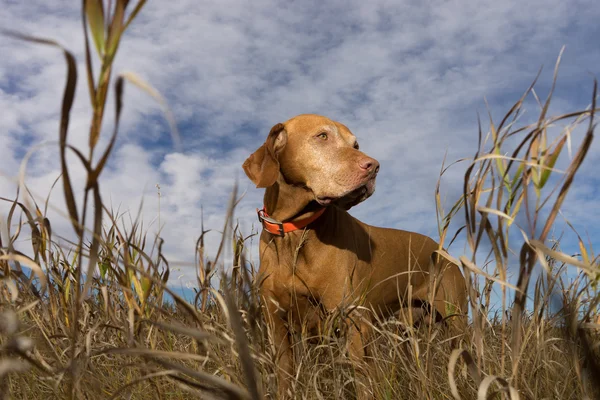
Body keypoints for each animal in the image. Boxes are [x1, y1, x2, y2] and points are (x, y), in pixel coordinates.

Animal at [241, 112, 466, 396]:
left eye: (355, 144)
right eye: (322, 136)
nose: (374, 166)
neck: (295, 233)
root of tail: (442, 249)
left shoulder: (354, 322)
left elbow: (362, 383)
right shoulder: (277, 326)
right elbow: (285, 378)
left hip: (456, 319)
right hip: (405, 330)